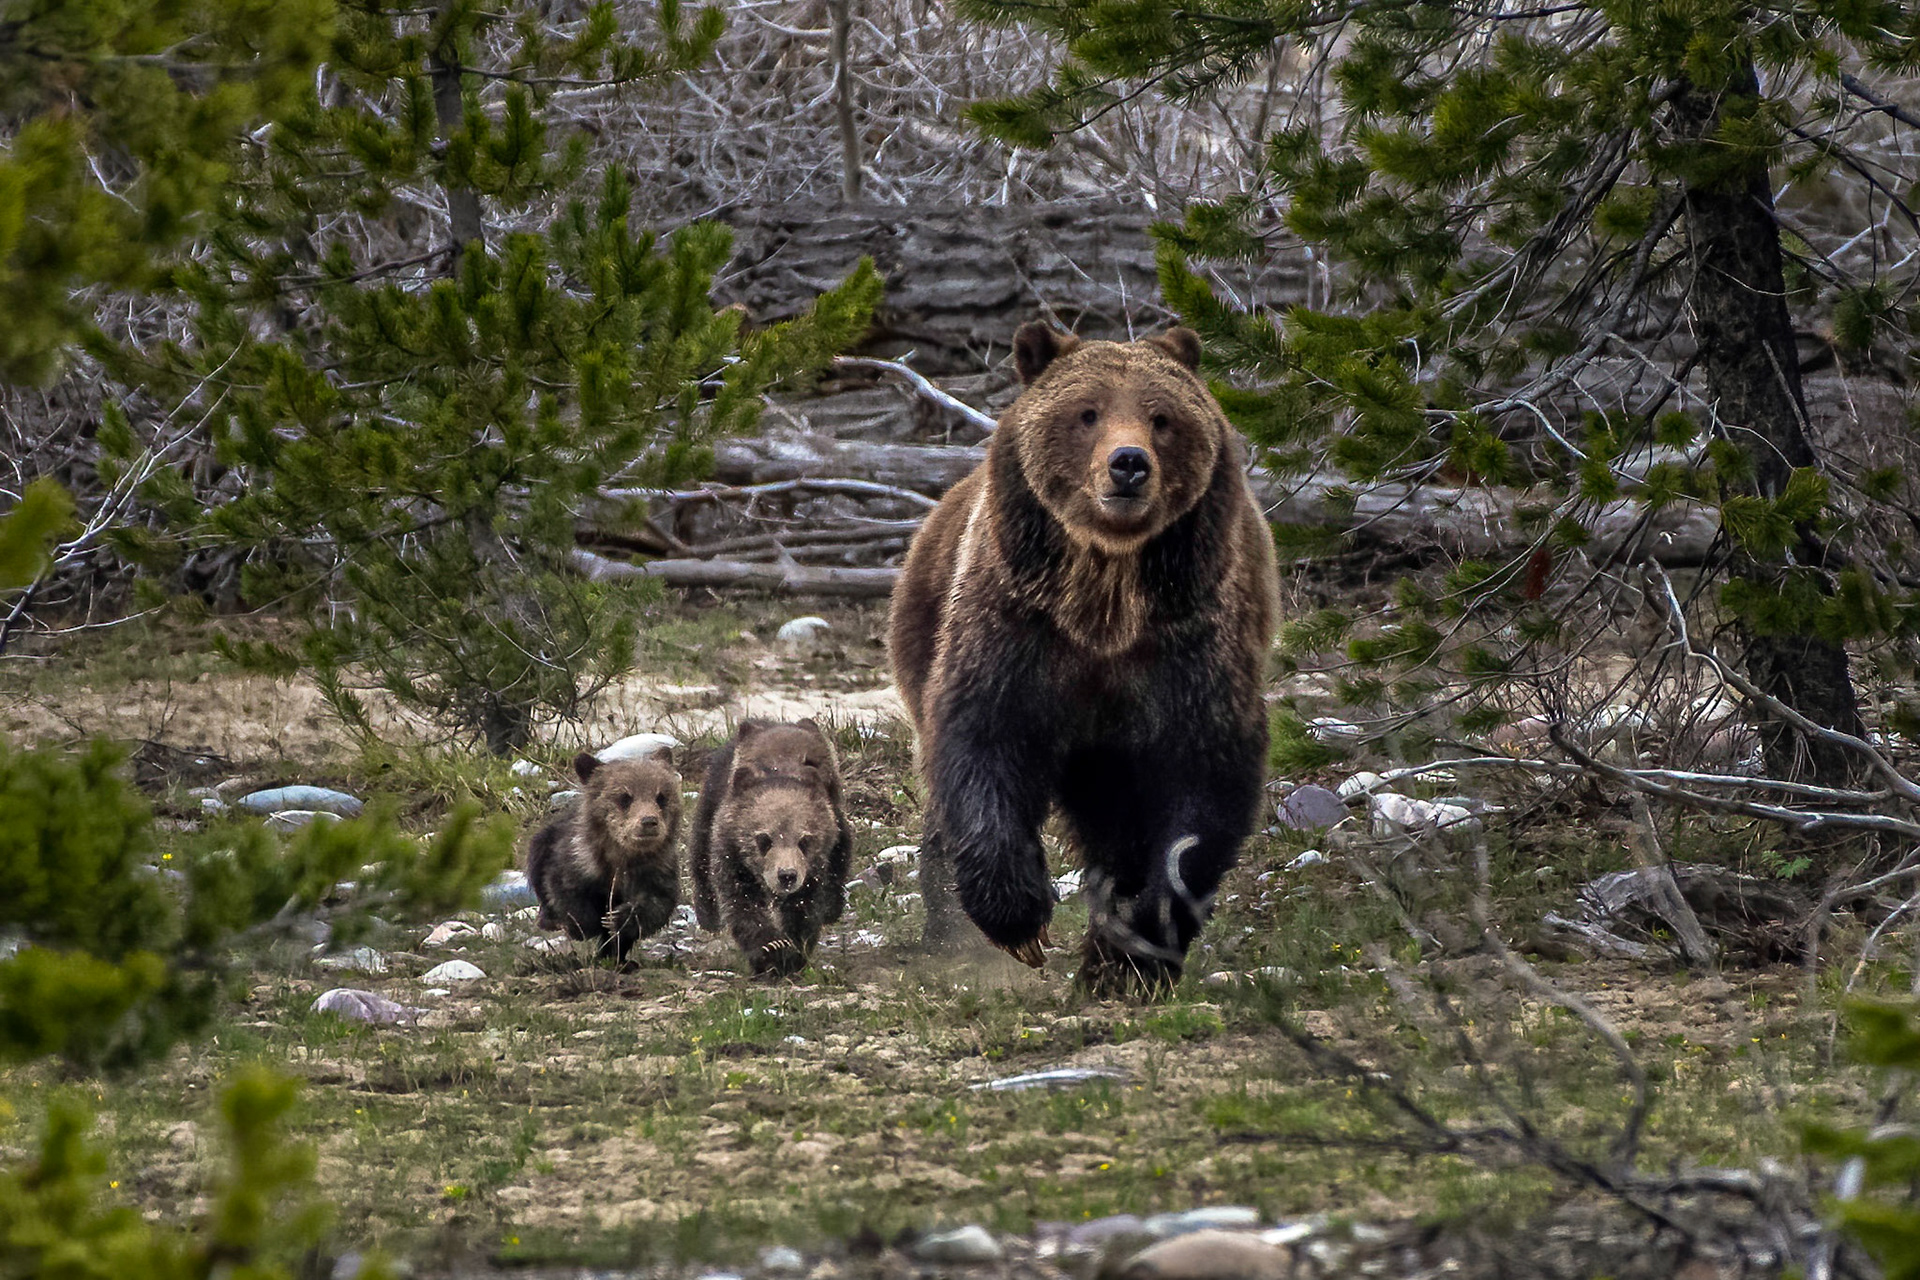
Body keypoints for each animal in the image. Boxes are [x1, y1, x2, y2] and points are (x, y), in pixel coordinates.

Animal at [525, 745, 682, 962]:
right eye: (624, 797)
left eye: (661, 797)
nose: (649, 821)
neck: (621, 857)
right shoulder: (576, 860)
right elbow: (564, 891)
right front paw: (586, 925)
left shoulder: (657, 870)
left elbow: (656, 905)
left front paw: (617, 919)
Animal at [689, 719, 854, 976]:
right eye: (763, 839)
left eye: (804, 840)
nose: (786, 875)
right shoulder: (733, 857)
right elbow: (742, 907)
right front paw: (769, 952)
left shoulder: (814, 867)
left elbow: (805, 908)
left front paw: (793, 953)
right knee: (700, 852)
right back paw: (708, 914)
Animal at [888, 321, 1277, 995]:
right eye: (1087, 412)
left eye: (1161, 417)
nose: (1129, 464)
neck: (1106, 606)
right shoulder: (1017, 631)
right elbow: (982, 740)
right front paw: (1020, 922)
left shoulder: (1191, 646)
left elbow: (1202, 787)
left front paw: (1137, 950)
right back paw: (946, 927)